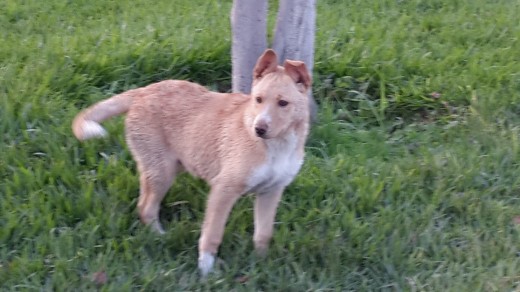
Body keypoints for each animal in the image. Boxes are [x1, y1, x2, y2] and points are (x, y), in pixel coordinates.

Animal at [71, 49, 310, 274]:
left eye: (283, 103)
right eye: (258, 100)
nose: (258, 129)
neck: (277, 145)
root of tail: (143, 91)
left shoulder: (271, 192)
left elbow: (263, 233)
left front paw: (260, 263)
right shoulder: (224, 189)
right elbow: (212, 234)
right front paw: (206, 271)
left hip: (173, 165)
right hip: (161, 171)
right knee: (145, 208)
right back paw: (161, 238)